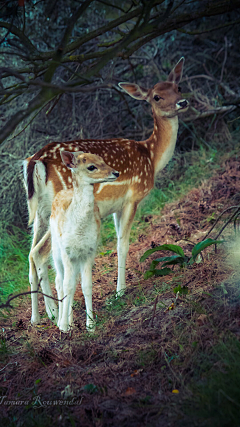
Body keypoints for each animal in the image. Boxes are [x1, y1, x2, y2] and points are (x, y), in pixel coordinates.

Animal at [23, 56, 189, 324]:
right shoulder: (132, 198)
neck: (151, 157)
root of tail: (35, 162)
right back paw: (57, 315)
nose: (182, 102)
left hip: (39, 213)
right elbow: (122, 244)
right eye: (156, 96)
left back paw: (41, 316)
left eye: (178, 87)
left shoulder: (114, 207)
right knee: (40, 254)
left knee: (32, 255)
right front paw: (120, 291)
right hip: (59, 210)